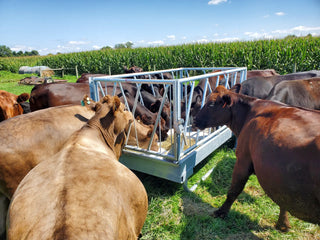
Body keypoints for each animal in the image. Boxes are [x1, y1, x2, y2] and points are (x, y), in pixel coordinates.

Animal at [192, 85, 320, 232]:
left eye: (212, 103)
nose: (194, 120)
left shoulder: (242, 160)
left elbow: (233, 190)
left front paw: (221, 212)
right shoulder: (281, 179)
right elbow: (283, 200)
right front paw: (283, 225)